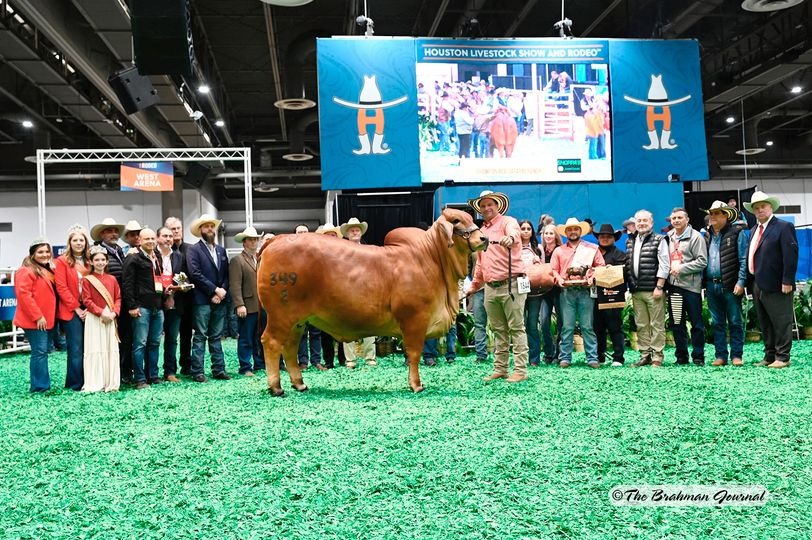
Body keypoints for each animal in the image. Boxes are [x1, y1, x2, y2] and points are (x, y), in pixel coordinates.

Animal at [258, 209, 488, 394]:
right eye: (457, 220)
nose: (484, 238)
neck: (431, 259)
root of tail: (276, 240)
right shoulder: (415, 320)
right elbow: (414, 354)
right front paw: (416, 385)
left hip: (297, 321)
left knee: (290, 347)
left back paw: (299, 384)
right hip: (280, 316)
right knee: (271, 342)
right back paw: (276, 387)